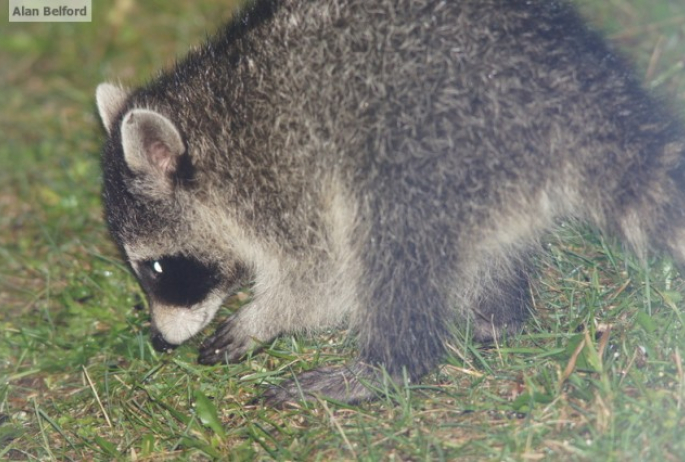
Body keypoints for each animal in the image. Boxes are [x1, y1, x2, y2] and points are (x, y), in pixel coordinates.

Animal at [95, 0, 684, 404]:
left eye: (157, 268)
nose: (160, 340)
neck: (211, 119)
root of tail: (575, 95)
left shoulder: (282, 175)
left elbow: (324, 274)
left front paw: (267, 316)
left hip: (426, 147)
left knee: (388, 251)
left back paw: (391, 363)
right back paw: (497, 316)